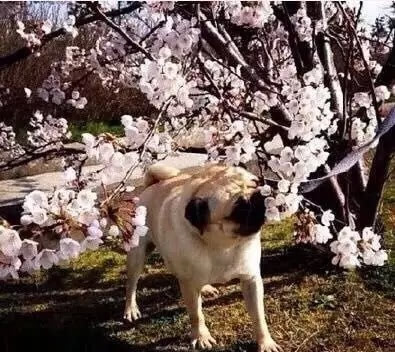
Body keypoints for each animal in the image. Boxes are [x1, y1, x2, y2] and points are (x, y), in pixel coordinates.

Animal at [124, 164, 282, 350]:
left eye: (257, 182)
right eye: (239, 208)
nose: (261, 193)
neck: (224, 246)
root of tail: (153, 184)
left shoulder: (251, 280)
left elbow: (258, 316)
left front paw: (265, 342)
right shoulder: (189, 287)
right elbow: (196, 314)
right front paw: (201, 336)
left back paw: (206, 288)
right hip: (137, 255)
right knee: (131, 285)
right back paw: (130, 309)